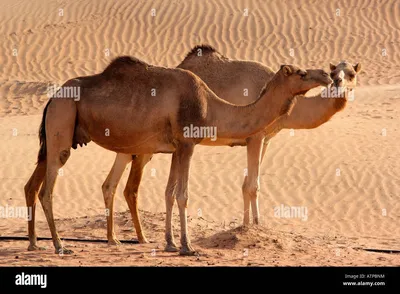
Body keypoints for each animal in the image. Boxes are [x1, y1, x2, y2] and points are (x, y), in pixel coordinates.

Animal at [22, 54, 332, 254]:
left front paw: (170, 243)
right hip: (63, 121)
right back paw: (60, 245)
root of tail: (53, 97)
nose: (327, 74)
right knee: (47, 189)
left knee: (37, 182)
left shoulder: (175, 147)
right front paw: (187, 246)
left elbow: (169, 193)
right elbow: (183, 195)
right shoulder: (187, 143)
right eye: (302, 73)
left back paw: (38, 242)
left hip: (56, 134)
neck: (211, 107)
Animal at [102, 44, 360, 245]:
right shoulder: (255, 137)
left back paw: (121, 237)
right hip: (144, 145)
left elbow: (248, 183)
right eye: (334, 70)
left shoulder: (264, 139)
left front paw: (249, 226)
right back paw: (138, 238)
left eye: (351, 73)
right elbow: (252, 185)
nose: (334, 80)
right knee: (130, 187)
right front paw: (254, 227)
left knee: (112, 184)